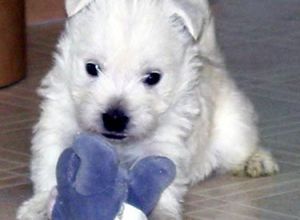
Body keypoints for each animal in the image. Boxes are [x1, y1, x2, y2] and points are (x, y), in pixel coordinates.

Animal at [17, 0, 278, 220]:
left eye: (153, 77)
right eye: (92, 68)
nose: (114, 118)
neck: (118, 144)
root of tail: (214, 63)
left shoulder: (166, 142)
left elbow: (162, 180)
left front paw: (160, 212)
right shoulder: (57, 125)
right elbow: (51, 164)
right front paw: (39, 206)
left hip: (233, 130)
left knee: (244, 146)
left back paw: (257, 162)